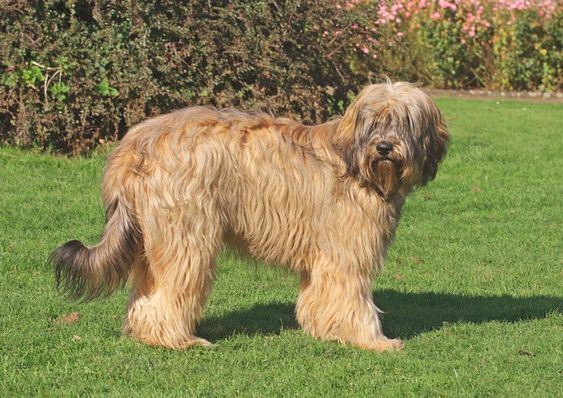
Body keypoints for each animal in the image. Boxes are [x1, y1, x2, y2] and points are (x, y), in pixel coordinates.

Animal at [53, 81, 450, 352]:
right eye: (374, 122)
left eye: (404, 122)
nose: (384, 148)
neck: (356, 164)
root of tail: (134, 143)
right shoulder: (347, 252)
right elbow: (354, 298)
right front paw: (374, 341)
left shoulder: (323, 256)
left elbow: (319, 296)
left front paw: (325, 330)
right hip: (187, 234)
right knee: (173, 290)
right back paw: (178, 339)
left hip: (151, 239)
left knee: (147, 294)